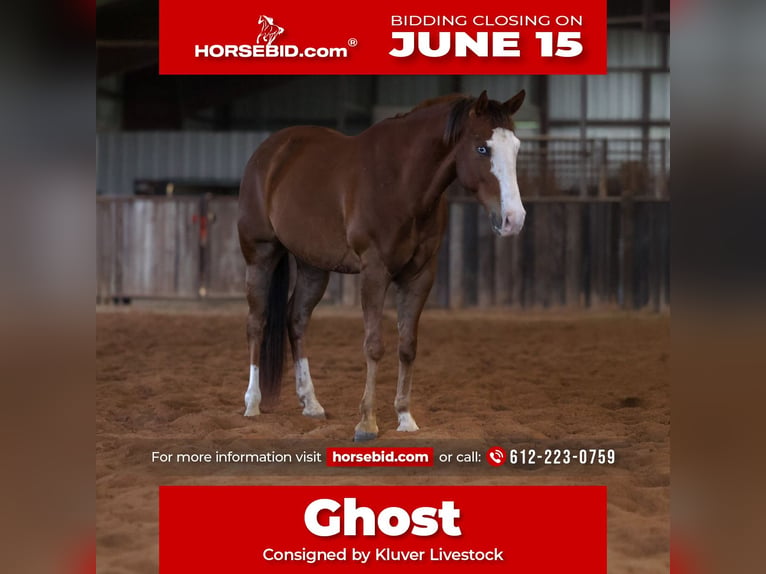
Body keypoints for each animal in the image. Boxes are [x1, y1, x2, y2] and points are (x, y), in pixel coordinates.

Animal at [237, 89, 527, 441]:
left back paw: (311, 403)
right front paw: (366, 423)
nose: (514, 219)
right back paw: (252, 403)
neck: (402, 183)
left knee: (297, 320)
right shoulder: (374, 272)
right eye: (482, 148)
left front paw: (405, 417)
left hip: (312, 267)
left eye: (516, 147)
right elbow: (374, 346)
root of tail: (268, 152)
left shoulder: (420, 276)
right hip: (260, 255)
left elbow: (408, 346)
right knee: (257, 322)